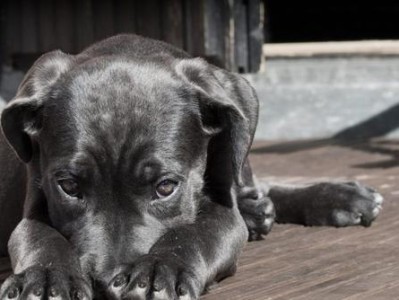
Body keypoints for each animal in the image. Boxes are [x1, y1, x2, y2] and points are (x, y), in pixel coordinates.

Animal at [0, 34, 382, 298]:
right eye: (69, 186)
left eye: (166, 187)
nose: (106, 285)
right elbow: (39, 236)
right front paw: (47, 277)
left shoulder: (223, 213)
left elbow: (195, 234)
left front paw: (159, 270)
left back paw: (338, 197)